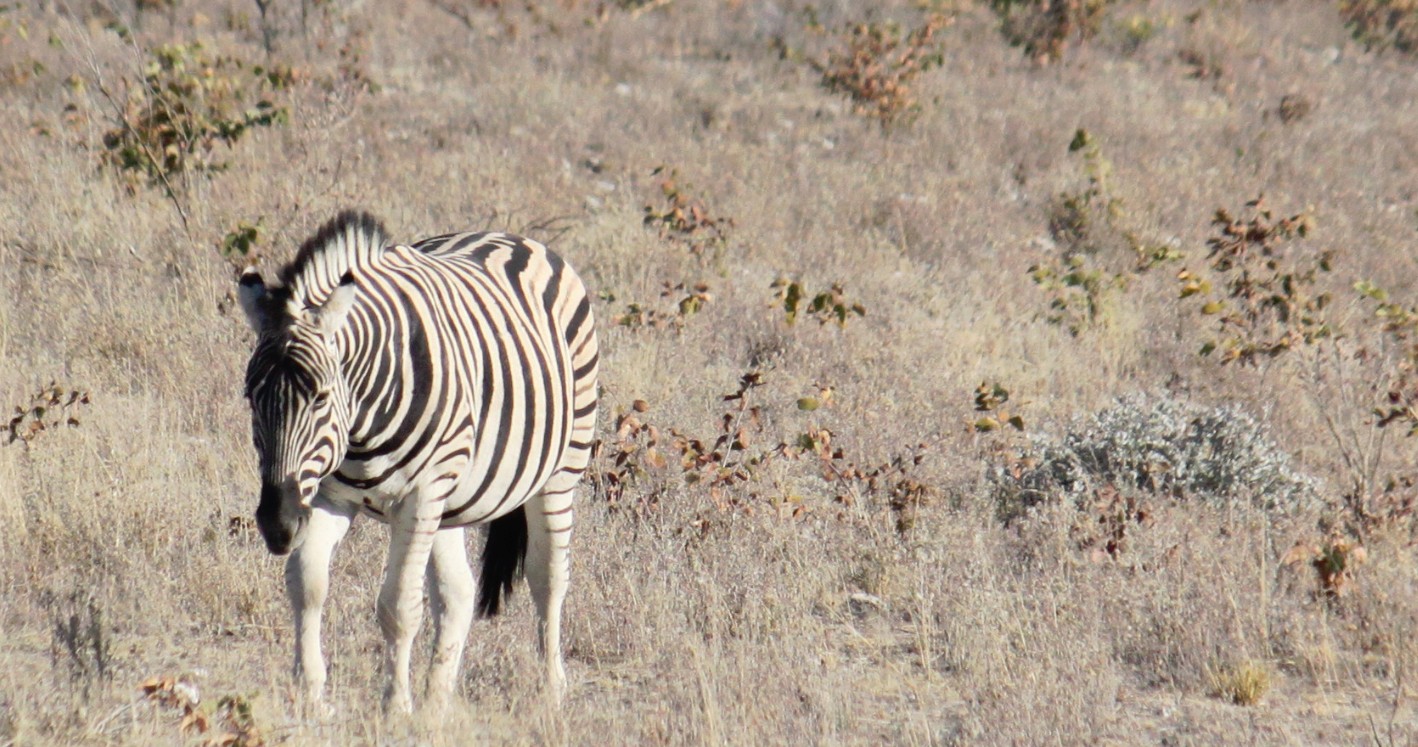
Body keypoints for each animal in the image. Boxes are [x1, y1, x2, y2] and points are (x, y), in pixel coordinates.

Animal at [236, 212, 598, 714]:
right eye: (251, 399)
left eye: (321, 398)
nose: (278, 526)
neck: (360, 420)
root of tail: (510, 236)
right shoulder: (329, 494)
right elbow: (307, 581)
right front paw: (310, 697)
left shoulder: (419, 493)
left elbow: (399, 605)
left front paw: (395, 706)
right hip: (449, 500)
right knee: (458, 593)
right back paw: (437, 700)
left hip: (559, 469)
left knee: (548, 577)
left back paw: (550, 689)